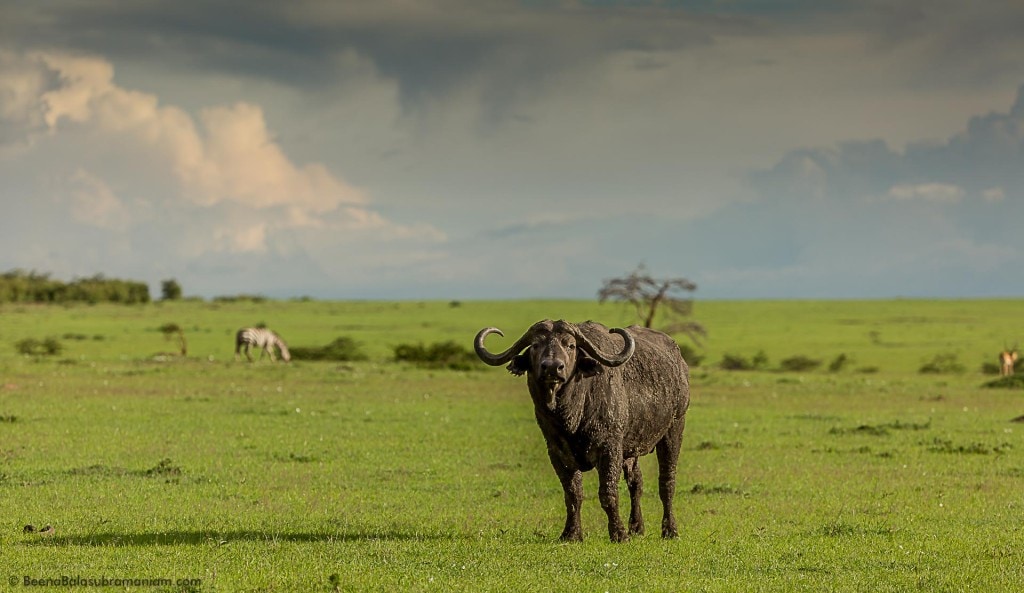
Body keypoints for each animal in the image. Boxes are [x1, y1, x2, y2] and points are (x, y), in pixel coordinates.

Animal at [475, 319, 692, 544]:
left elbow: (608, 493)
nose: (552, 367)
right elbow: (572, 494)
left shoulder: (610, 449)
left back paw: (670, 530)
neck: (572, 414)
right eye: (535, 345)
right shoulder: (557, 453)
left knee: (666, 482)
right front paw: (571, 533)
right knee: (636, 483)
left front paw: (619, 533)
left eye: (570, 345)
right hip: (631, 448)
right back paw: (637, 527)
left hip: (674, 428)